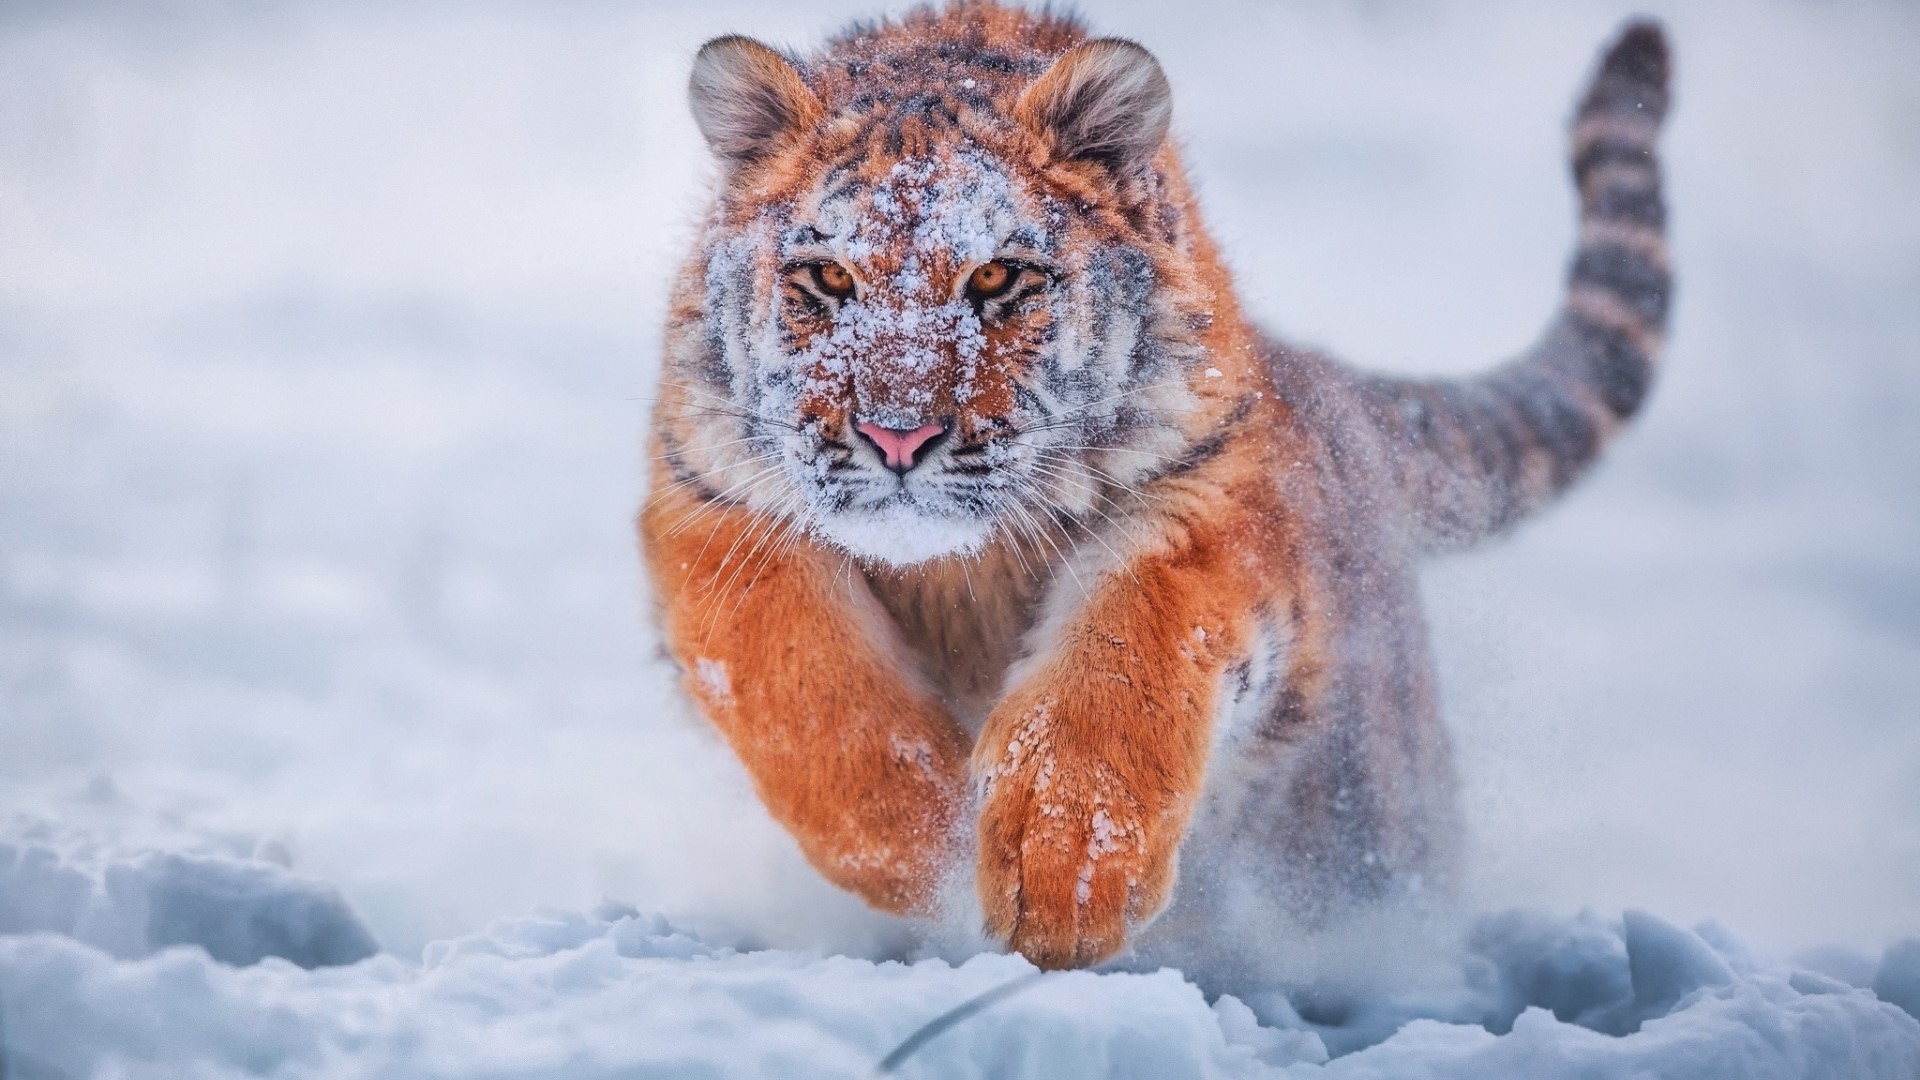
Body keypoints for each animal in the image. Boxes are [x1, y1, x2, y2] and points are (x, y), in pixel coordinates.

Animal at [640, 0, 1672, 972]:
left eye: (997, 277)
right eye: (826, 276)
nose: (900, 435)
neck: (958, 573)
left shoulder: (1205, 500)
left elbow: (1123, 656)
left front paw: (1062, 875)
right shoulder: (712, 507)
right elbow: (801, 683)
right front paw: (923, 843)